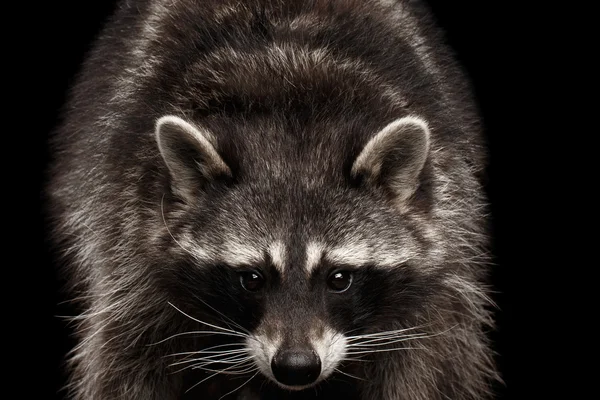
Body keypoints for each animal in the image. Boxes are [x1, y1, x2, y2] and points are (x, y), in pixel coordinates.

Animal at [47, 0, 496, 398]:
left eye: (339, 278)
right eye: (251, 278)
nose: (296, 367)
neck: (292, 116)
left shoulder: (445, 267)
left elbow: (428, 369)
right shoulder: (127, 245)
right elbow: (125, 361)